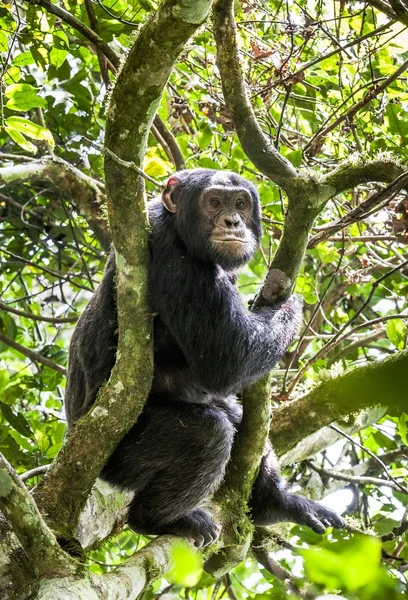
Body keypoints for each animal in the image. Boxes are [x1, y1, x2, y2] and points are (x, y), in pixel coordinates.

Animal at [64, 168, 344, 544]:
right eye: (213, 202)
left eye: (240, 203)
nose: (232, 221)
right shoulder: (174, 256)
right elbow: (228, 355)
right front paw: (288, 304)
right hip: (120, 458)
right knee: (207, 433)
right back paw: (157, 520)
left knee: (237, 421)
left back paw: (275, 503)